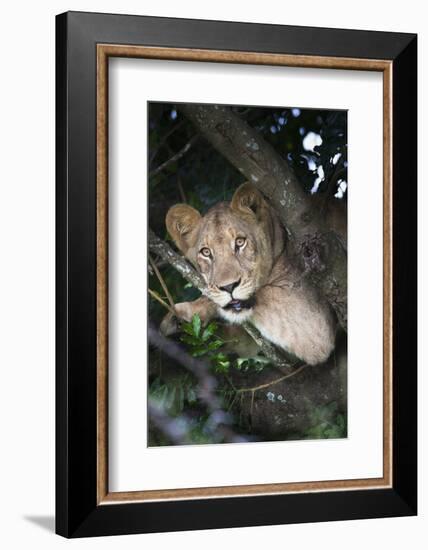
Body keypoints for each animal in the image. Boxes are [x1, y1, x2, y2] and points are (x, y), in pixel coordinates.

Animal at [160, 183, 338, 368]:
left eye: (240, 242)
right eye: (206, 252)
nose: (228, 287)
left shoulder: (313, 324)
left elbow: (260, 293)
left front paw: (188, 311)